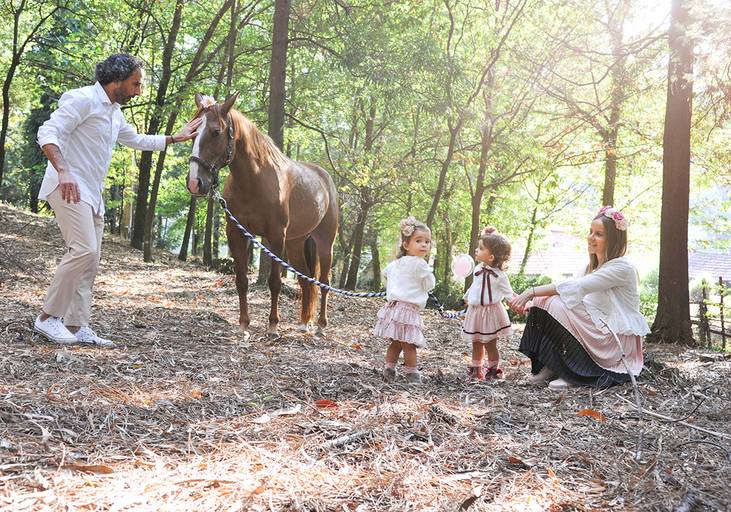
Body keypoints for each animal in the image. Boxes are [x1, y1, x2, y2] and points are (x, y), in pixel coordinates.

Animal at [186, 92, 338, 340]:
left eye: (216, 131)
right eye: (193, 131)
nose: (194, 183)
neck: (254, 180)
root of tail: (325, 179)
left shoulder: (275, 236)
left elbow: (274, 282)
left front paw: (273, 325)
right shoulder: (237, 232)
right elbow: (241, 280)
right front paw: (243, 325)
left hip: (325, 242)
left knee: (324, 281)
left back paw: (321, 325)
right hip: (296, 243)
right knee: (305, 280)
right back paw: (304, 323)